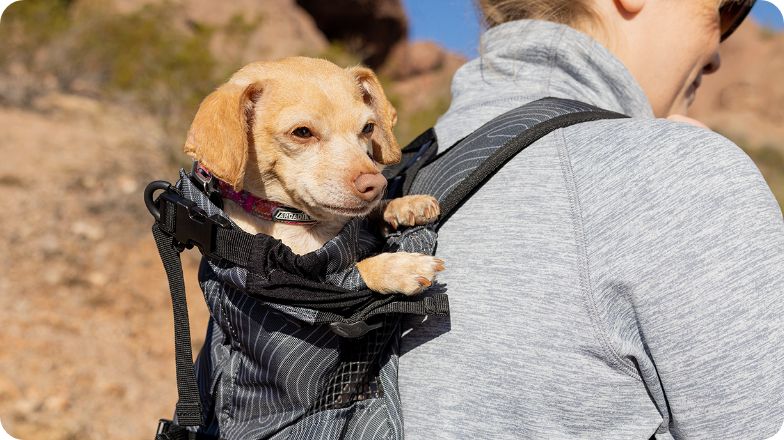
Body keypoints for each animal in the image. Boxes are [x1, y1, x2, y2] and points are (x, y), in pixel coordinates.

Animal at [181, 55, 444, 296]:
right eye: (302, 132)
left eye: (368, 128)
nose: (377, 185)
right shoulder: (307, 278)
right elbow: (356, 271)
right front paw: (400, 267)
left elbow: (368, 214)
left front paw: (405, 204)